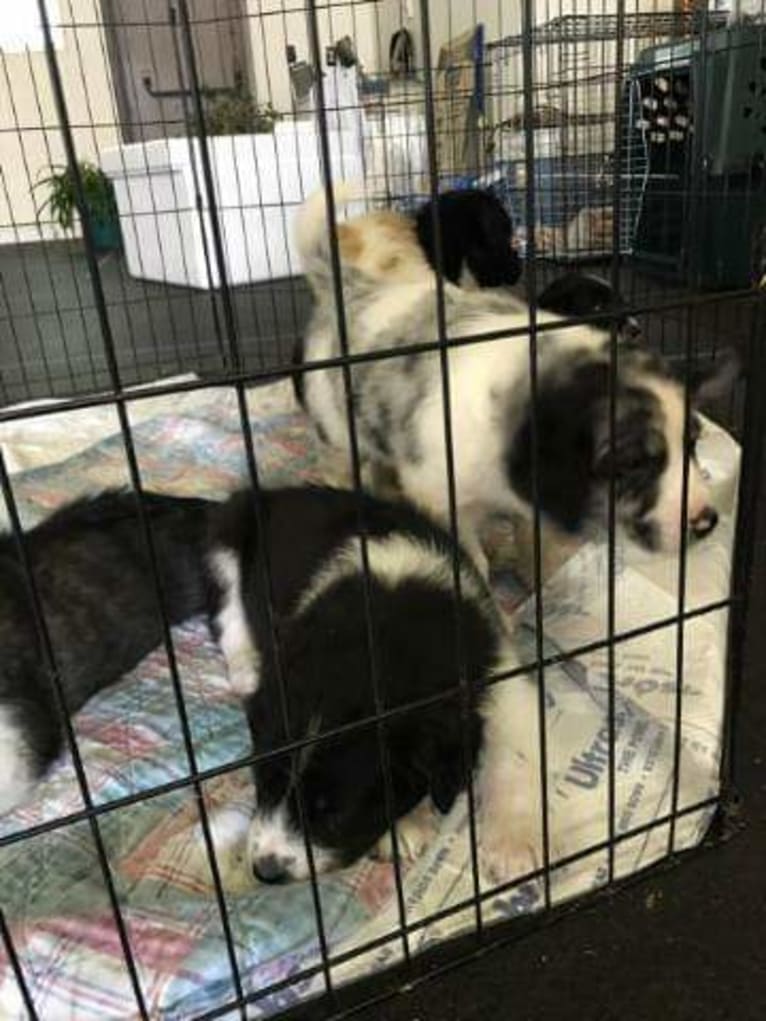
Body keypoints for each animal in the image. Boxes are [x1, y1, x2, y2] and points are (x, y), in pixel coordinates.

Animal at [207, 485, 543, 886]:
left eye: (335, 815)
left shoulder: (495, 670)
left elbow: (516, 752)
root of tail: (277, 491)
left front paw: (514, 848)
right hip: (227, 538)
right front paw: (404, 828)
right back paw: (246, 667)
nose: (265, 870)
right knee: (228, 613)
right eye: (263, 782)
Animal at [296, 203, 723, 575]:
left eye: (692, 444)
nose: (706, 521)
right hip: (339, 439)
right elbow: (474, 565)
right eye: (631, 463)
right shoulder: (446, 502)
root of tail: (350, 288)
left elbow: (535, 549)